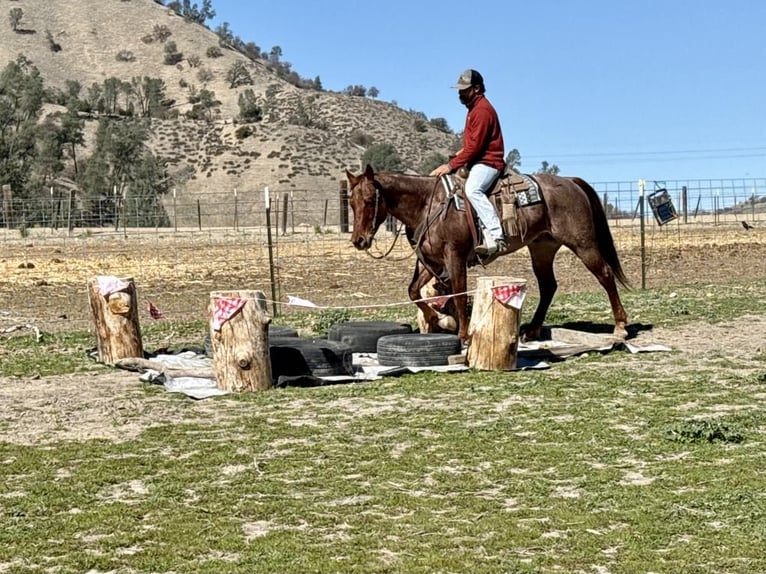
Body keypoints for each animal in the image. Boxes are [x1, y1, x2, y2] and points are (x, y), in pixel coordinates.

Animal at [348, 164, 632, 344]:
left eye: (370, 200)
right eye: (351, 202)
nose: (359, 240)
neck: (428, 203)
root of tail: (571, 181)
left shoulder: (454, 256)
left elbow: (459, 295)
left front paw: (463, 336)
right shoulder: (430, 263)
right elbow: (414, 292)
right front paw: (434, 318)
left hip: (583, 245)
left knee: (605, 275)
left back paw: (620, 327)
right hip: (542, 247)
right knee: (548, 286)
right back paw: (532, 330)